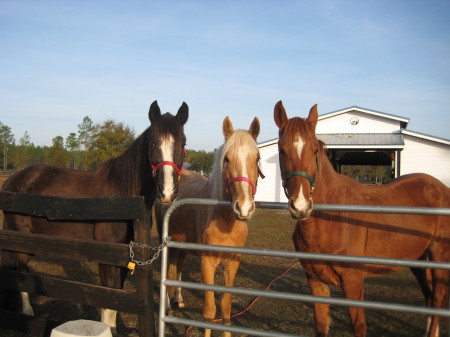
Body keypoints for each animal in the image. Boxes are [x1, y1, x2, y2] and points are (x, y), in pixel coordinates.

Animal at [0, 100, 189, 330]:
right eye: (152, 143)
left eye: (183, 144)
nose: (167, 192)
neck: (122, 196)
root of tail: (12, 182)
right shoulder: (107, 256)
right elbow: (108, 297)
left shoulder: (125, 256)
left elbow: (117, 296)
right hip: (22, 241)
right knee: (22, 271)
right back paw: (27, 313)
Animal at [156, 116, 262, 336]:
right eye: (226, 159)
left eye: (257, 158)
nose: (244, 208)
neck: (225, 222)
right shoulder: (207, 263)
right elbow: (210, 310)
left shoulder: (232, 264)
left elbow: (226, 308)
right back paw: (168, 307)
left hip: (181, 246)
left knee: (177, 267)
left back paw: (178, 299)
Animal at [272, 100, 450, 336]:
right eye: (281, 150)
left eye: (315, 149)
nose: (300, 206)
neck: (332, 220)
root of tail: (441, 188)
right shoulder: (316, 281)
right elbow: (321, 324)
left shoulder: (353, 282)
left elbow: (359, 325)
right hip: (419, 260)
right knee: (429, 298)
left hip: (439, 257)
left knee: (437, 300)